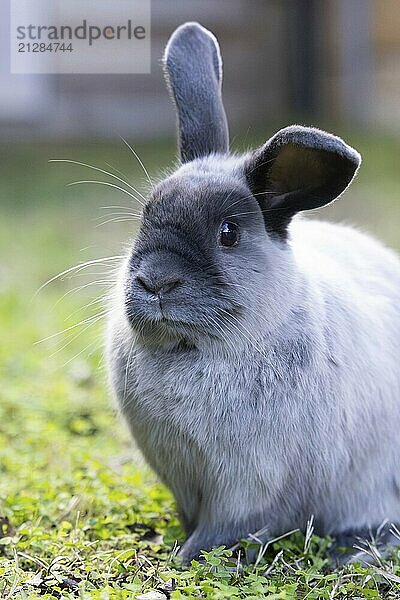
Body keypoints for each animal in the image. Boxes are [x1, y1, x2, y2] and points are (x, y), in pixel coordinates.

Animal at [106, 22, 400, 568]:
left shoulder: (248, 485)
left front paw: (184, 560)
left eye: (228, 233)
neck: (195, 350)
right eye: (147, 216)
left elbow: (225, 527)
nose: (156, 281)